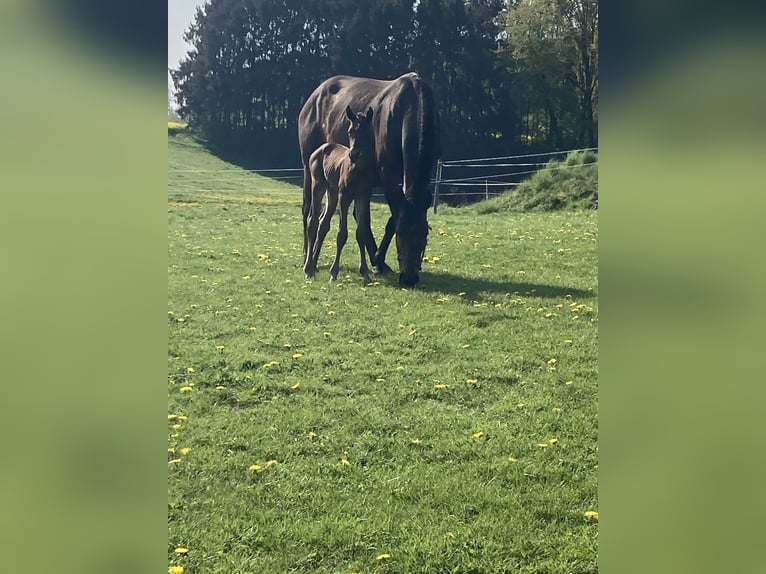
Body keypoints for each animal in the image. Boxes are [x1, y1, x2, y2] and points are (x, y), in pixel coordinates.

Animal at [304, 107, 380, 282]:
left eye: (366, 131)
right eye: (350, 131)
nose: (354, 154)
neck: (359, 170)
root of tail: (320, 148)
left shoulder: (363, 197)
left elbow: (361, 233)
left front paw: (365, 271)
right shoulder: (344, 196)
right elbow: (342, 234)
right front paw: (334, 272)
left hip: (331, 192)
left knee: (322, 224)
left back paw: (314, 265)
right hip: (318, 185)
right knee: (312, 221)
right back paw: (308, 268)